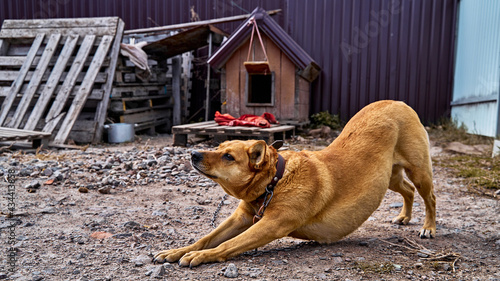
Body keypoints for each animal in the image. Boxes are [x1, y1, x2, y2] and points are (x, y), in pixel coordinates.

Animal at [154, 99, 436, 266]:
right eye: (218, 147)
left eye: (228, 157)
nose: (193, 154)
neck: (275, 181)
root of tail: (397, 102)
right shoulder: (242, 218)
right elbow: (206, 238)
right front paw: (178, 251)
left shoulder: (272, 224)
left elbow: (226, 244)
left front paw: (200, 256)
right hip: (389, 177)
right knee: (408, 191)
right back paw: (404, 216)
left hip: (419, 170)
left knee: (429, 197)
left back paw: (429, 228)